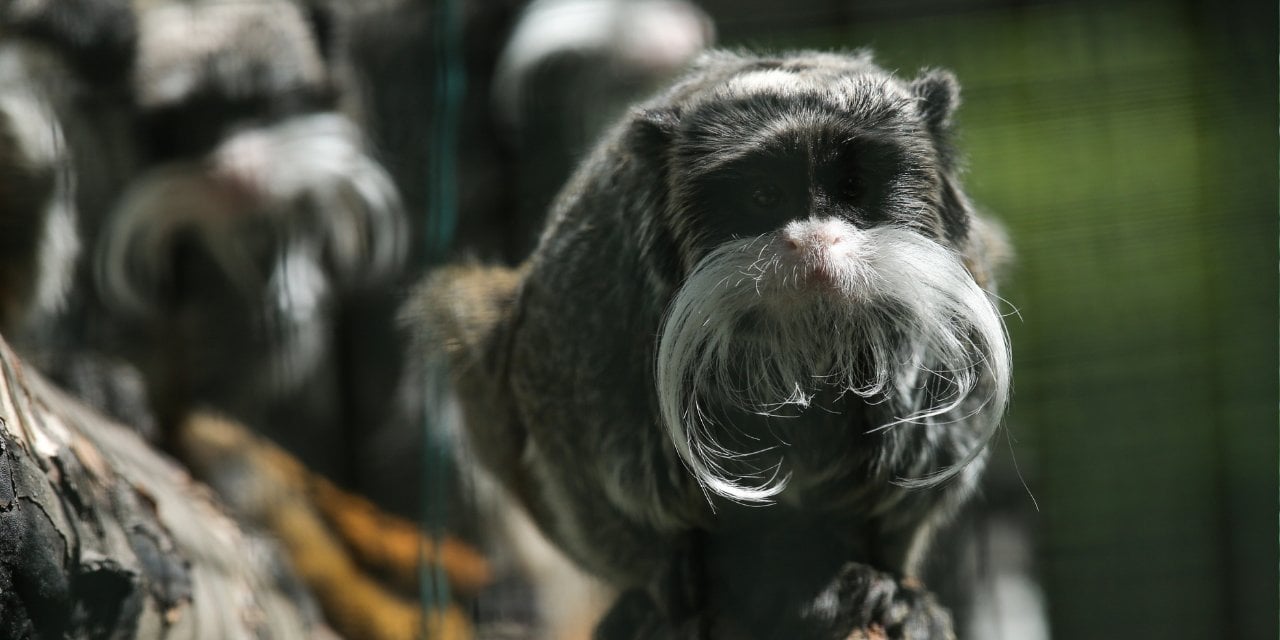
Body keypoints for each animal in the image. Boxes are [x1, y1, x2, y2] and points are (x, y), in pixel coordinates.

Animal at [414, 51, 1013, 640]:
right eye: (765, 195)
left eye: (851, 187)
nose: (814, 240)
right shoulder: (581, 318)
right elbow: (586, 481)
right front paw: (665, 575)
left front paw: (883, 581)